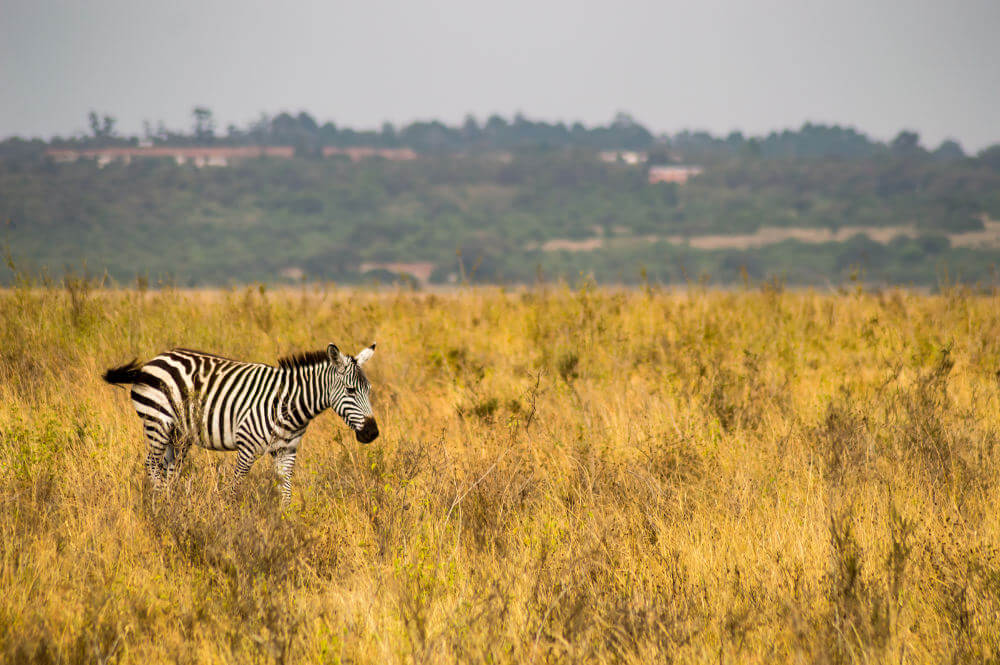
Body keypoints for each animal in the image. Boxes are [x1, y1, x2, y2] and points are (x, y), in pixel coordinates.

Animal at [102, 344, 378, 500]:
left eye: (369, 390)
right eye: (351, 390)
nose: (372, 433)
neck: (288, 403)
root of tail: (152, 361)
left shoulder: (286, 451)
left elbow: (286, 494)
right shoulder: (247, 447)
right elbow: (235, 489)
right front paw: (229, 521)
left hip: (178, 435)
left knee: (169, 467)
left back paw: (170, 502)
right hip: (157, 423)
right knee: (151, 464)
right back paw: (159, 504)